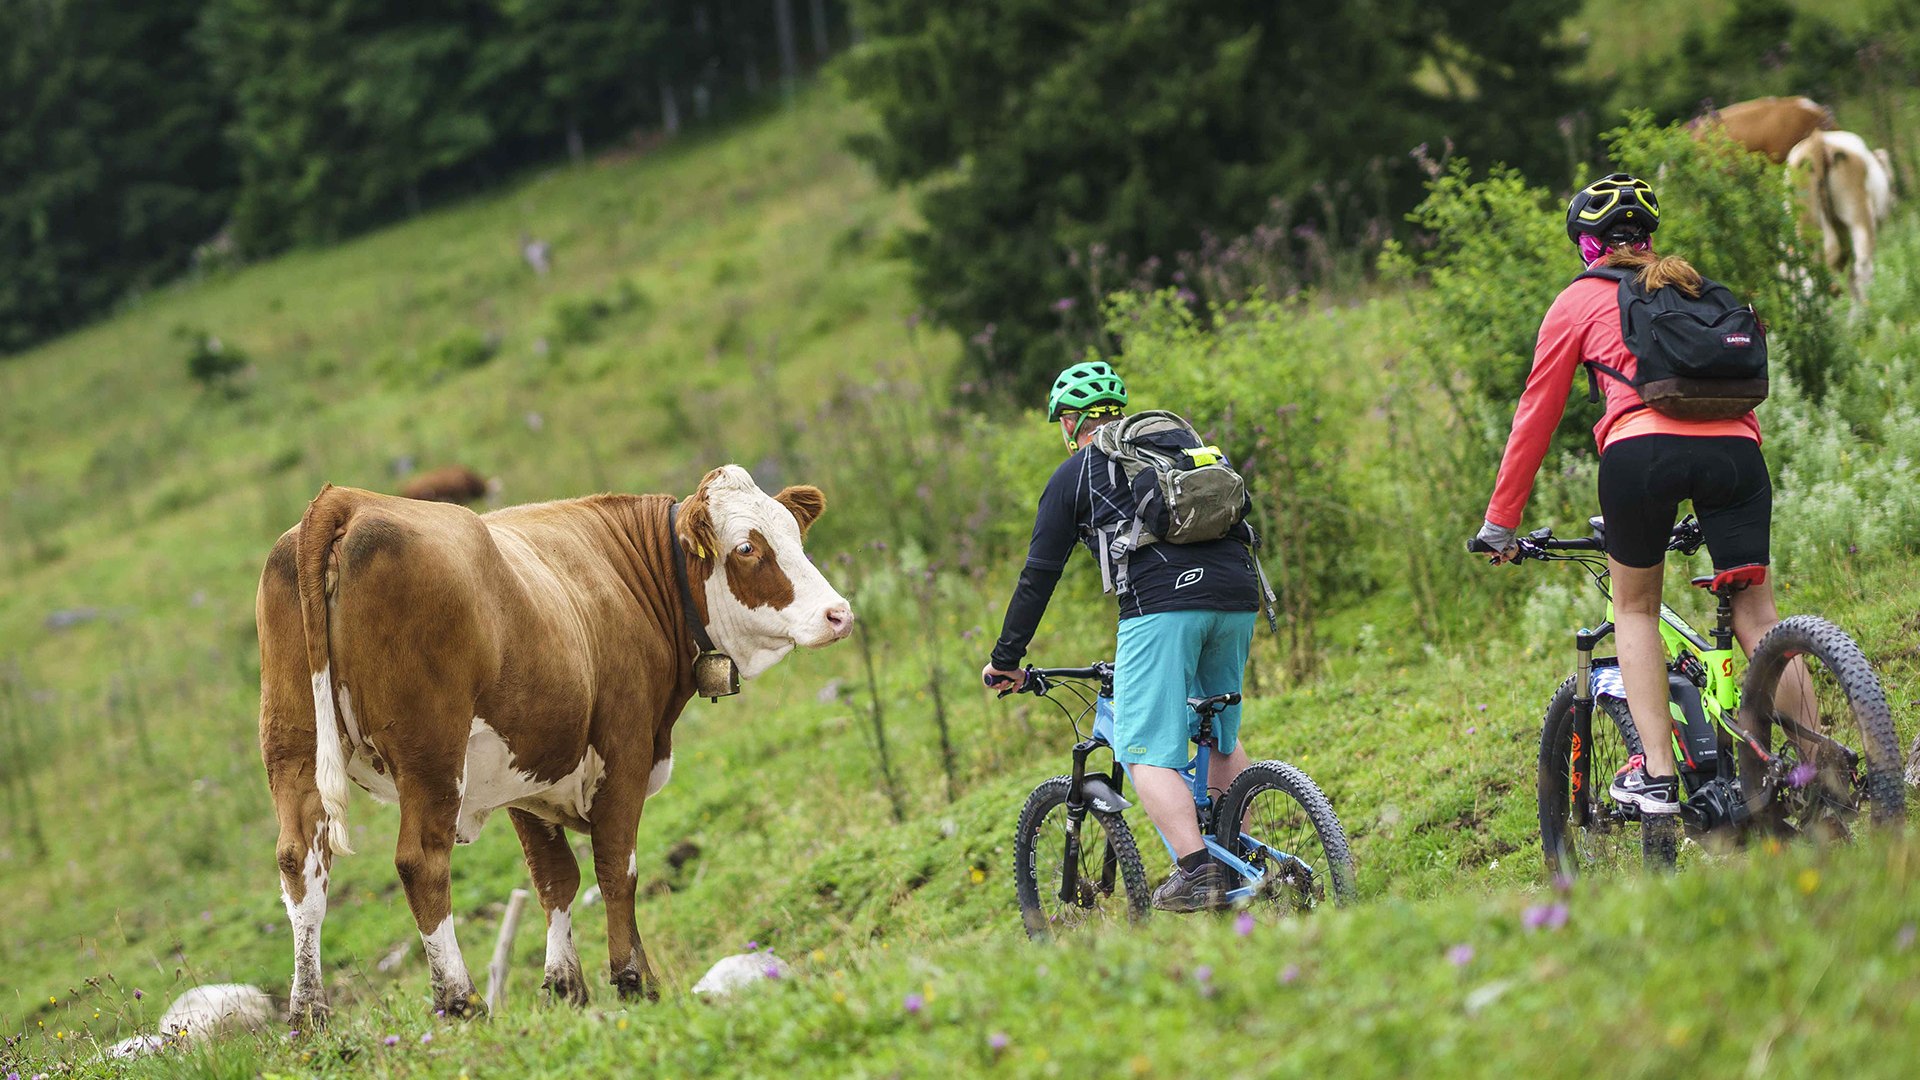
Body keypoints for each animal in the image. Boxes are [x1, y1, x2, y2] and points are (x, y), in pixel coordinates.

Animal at [257, 465, 856, 1014]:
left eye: (795, 534)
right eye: (748, 548)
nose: (839, 614)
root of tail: (347, 501)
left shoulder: (527, 773)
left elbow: (556, 879)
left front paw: (567, 986)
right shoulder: (624, 747)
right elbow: (617, 868)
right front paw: (634, 981)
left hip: (292, 745)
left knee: (300, 865)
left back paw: (309, 1015)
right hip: (431, 753)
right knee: (420, 862)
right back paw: (461, 1000)